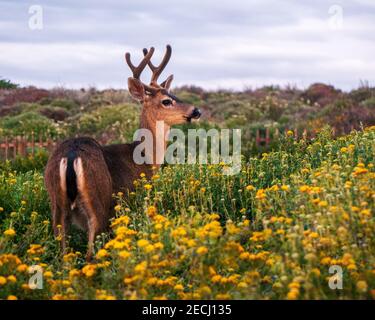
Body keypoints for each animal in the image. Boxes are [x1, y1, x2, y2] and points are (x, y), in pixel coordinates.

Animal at [44, 45, 201, 260]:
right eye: (166, 101)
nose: (196, 111)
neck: (146, 157)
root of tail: (71, 156)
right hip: (98, 202)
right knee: (90, 255)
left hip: (57, 206)